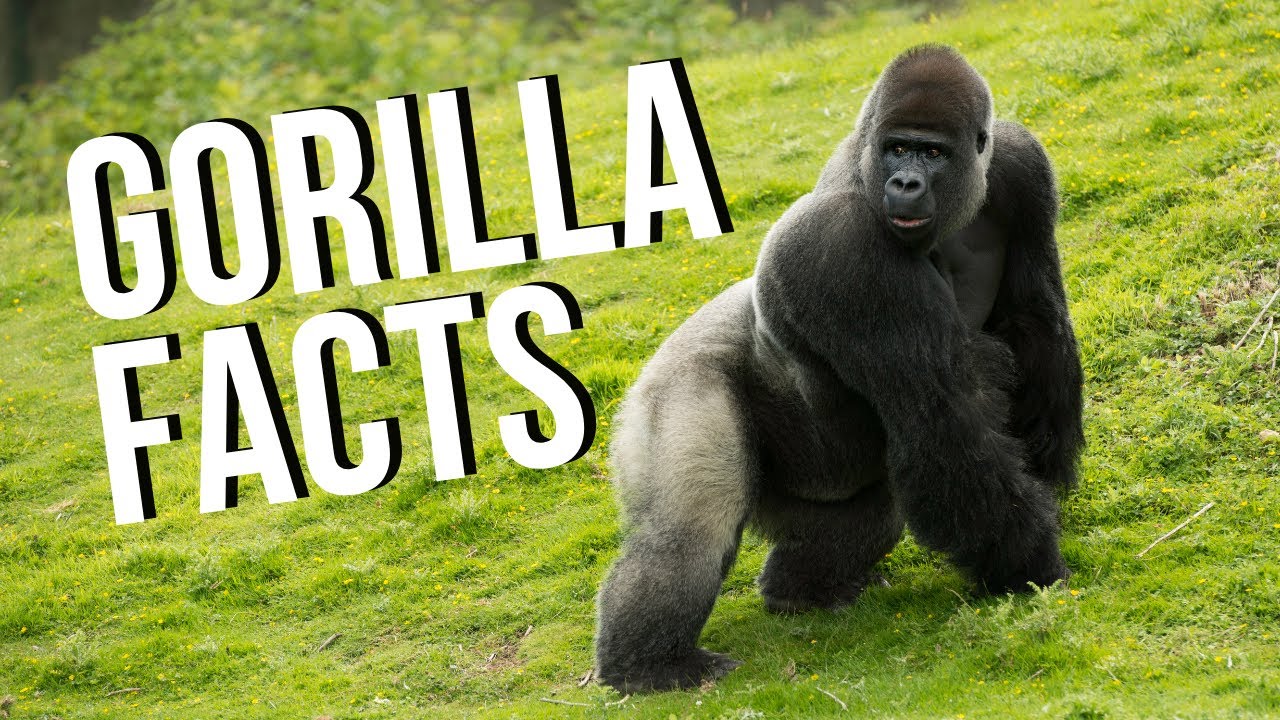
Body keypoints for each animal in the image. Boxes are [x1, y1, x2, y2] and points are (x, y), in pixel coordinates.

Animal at [594, 44, 1083, 693]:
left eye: (932, 153)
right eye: (898, 148)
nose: (905, 182)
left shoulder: (1020, 165)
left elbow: (1035, 320)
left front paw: (1048, 472)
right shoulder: (844, 249)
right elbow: (944, 419)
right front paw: (1028, 566)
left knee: (865, 509)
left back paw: (805, 590)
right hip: (675, 387)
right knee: (689, 533)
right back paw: (649, 665)